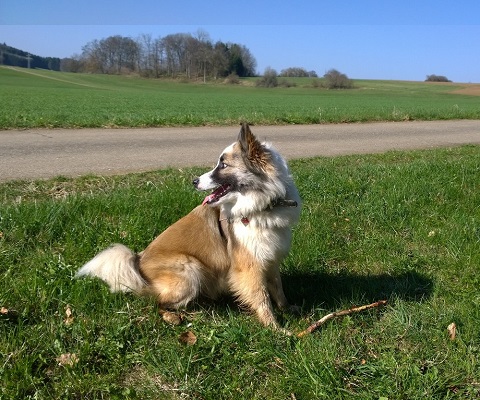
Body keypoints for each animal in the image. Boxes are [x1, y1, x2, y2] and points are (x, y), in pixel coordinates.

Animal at [76, 123, 301, 329]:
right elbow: (261, 297)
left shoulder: (270, 258)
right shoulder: (249, 266)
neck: (264, 206)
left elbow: (277, 288)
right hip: (190, 268)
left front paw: (287, 309)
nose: (194, 181)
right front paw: (276, 329)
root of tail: (137, 263)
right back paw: (179, 315)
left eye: (223, 165)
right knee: (156, 301)